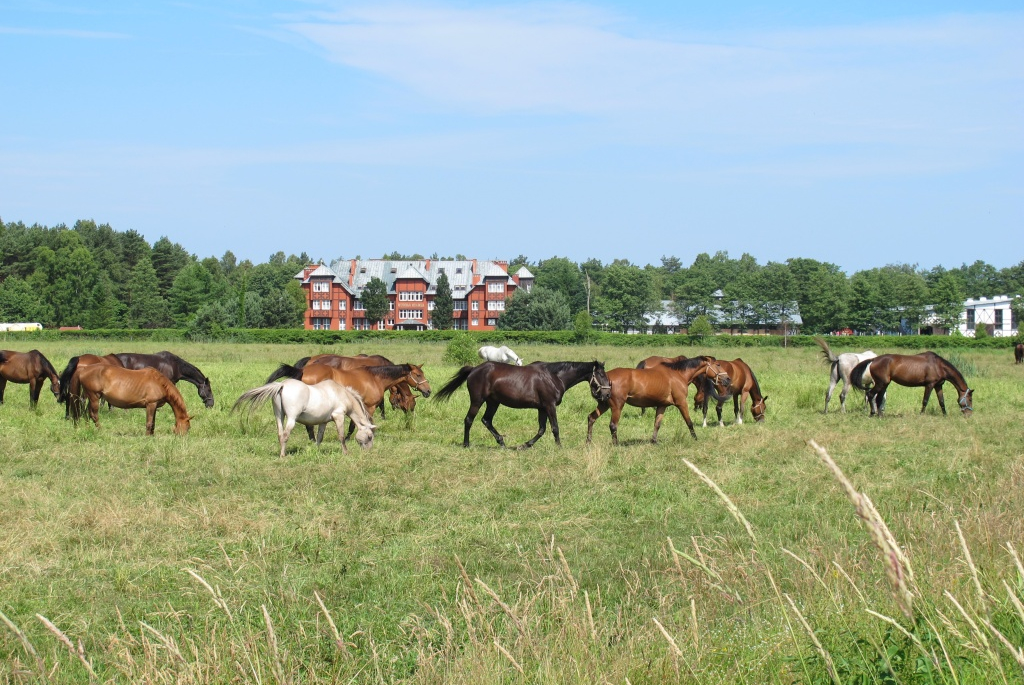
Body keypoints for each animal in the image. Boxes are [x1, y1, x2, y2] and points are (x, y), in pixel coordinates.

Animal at [232, 376, 376, 456]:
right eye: (369, 436)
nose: (368, 452)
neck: (340, 393)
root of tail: (282, 385)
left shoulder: (323, 422)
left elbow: (319, 437)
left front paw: (316, 451)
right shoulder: (338, 416)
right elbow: (341, 436)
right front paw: (345, 452)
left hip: (279, 416)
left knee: (280, 434)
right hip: (291, 419)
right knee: (285, 435)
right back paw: (283, 455)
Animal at [432, 358, 606, 448]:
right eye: (601, 375)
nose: (606, 394)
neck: (554, 376)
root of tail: (474, 369)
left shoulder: (542, 408)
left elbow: (541, 429)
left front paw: (526, 445)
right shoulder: (549, 405)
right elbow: (555, 427)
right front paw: (559, 447)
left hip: (493, 402)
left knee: (486, 420)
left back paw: (501, 442)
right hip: (477, 400)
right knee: (469, 420)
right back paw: (466, 444)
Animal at [589, 356, 733, 446]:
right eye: (718, 364)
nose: (728, 379)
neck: (678, 375)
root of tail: (606, 378)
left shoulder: (662, 405)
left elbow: (657, 424)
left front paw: (654, 441)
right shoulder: (682, 403)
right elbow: (689, 422)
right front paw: (695, 438)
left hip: (604, 404)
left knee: (591, 418)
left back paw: (588, 442)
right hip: (617, 406)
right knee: (613, 425)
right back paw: (616, 444)